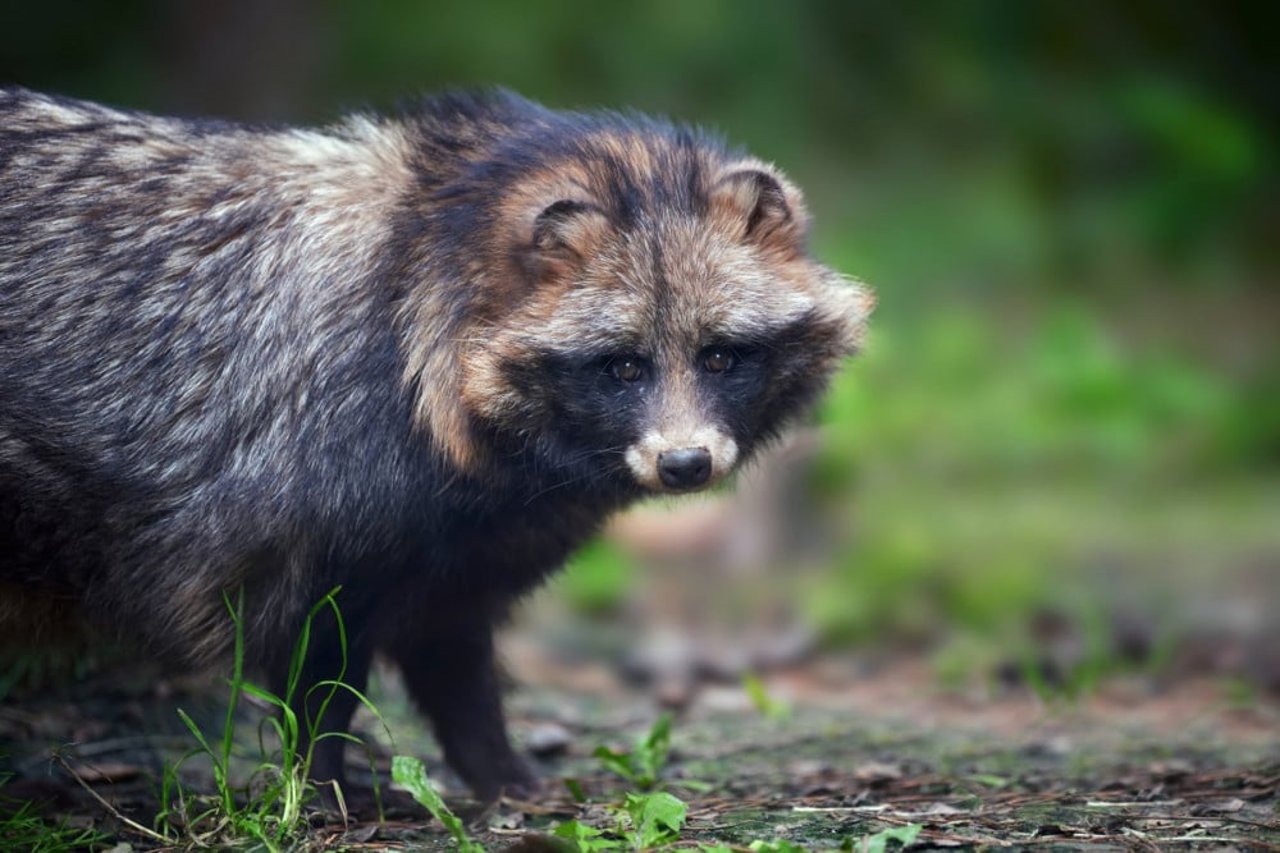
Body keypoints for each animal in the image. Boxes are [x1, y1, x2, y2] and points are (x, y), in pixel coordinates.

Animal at [0, 87, 870, 799]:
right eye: (623, 366)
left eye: (720, 356)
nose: (685, 463)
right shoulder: (311, 517)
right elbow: (318, 681)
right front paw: (318, 791)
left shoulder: (455, 549)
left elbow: (456, 662)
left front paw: (503, 775)